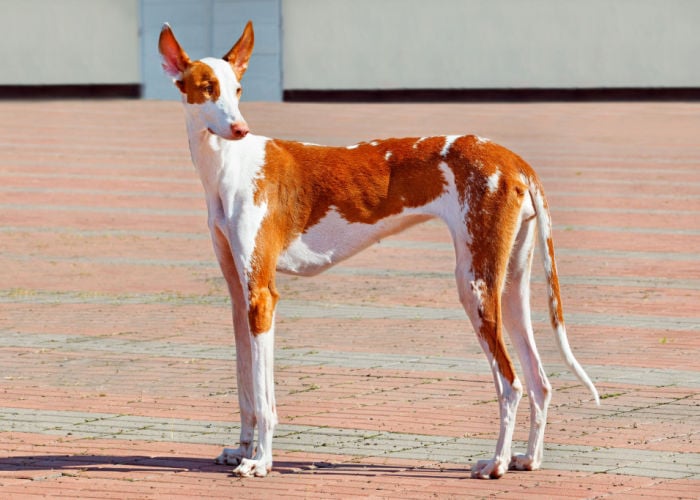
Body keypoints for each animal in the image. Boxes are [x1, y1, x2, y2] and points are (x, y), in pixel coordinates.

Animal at [159, 21, 596, 478]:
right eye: (208, 88)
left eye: (238, 89)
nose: (240, 129)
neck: (231, 166)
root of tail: (513, 160)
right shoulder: (238, 296)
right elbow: (246, 389)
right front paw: (241, 450)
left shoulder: (262, 297)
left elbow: (264, 399)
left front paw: (260, 460)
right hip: (508, 286)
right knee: (539, 380)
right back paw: (527, 459)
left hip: (474, 286)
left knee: (511, 383)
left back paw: (496, 463)